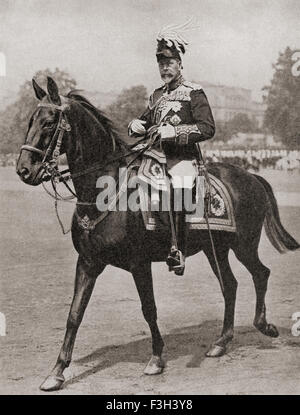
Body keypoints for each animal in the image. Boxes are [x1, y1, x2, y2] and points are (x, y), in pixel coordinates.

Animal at [17, 78, 300, 394]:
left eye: (49, 122)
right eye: (30, 120)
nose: (23, 169)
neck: (105, 192)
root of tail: (252, 177)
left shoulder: (139, 264)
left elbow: (149, 309)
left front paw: (156, 359)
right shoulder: (88, 263)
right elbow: (74, 315)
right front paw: (57, 371)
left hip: (244, 245)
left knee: (261, 273)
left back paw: (264, 326)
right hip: (216, 249)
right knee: (230, 285)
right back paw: (221, 342)